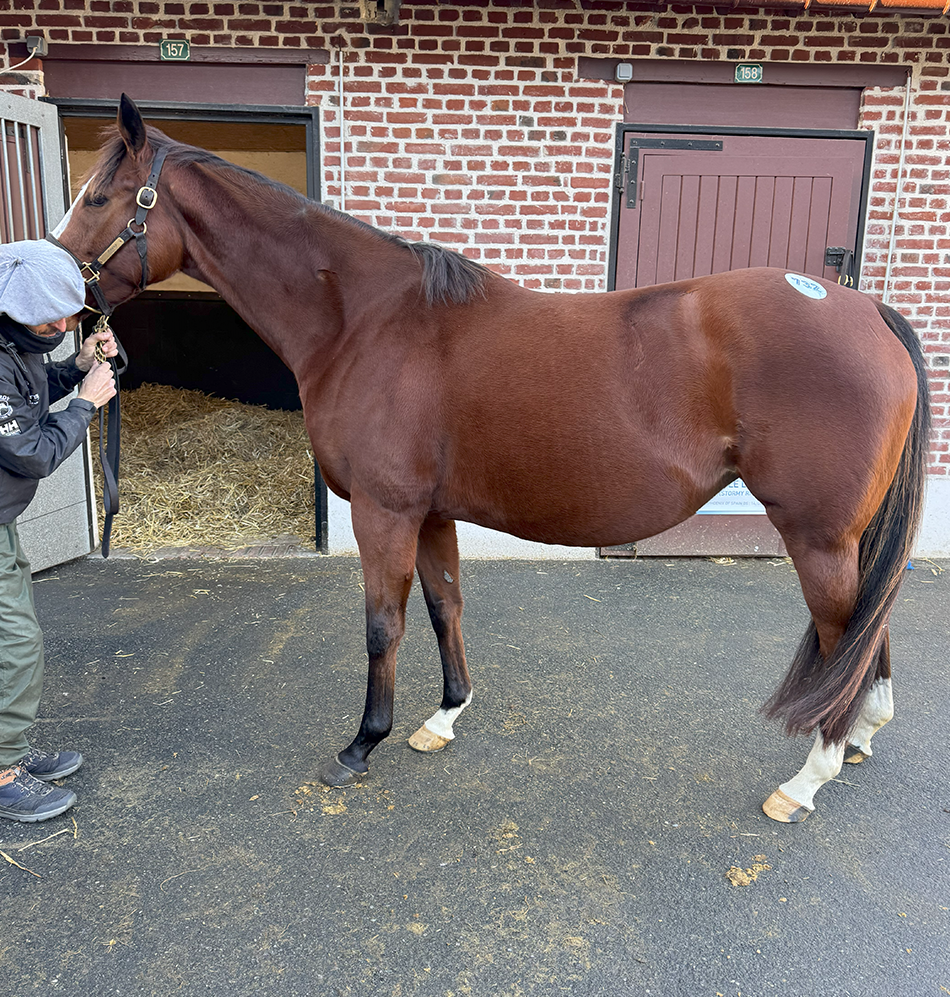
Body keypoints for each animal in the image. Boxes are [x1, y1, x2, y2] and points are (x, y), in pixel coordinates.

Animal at [52, 95, 931, 823]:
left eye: (97, 198)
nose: (58, 300)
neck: (366, 320)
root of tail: (868, 309)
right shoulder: (431, 511)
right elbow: (446, 606)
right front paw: (443, 716)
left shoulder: (384, 511)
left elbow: (383, 624)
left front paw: (361, 743)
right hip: (844, 538)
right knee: (869, 625)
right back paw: (859, 736)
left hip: (817, 535)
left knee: (845, 632)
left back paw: (806, 779)